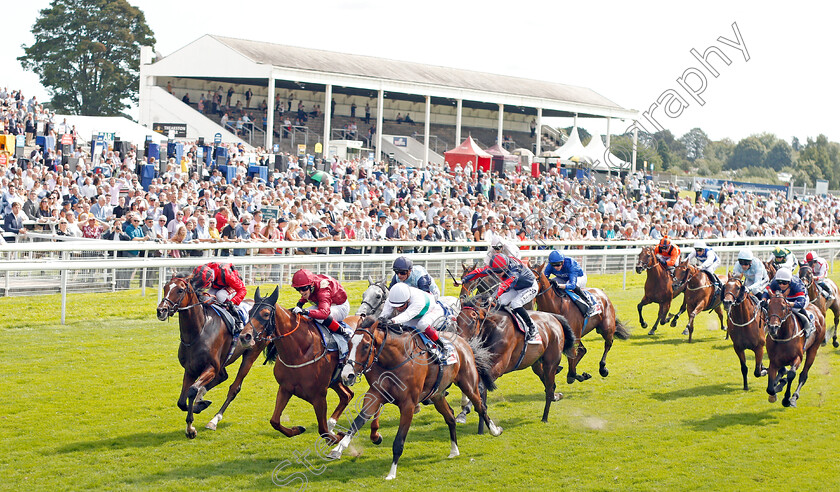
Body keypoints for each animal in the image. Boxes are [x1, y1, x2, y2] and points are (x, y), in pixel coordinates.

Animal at [154, 272, 264, 438]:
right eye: (165, 287)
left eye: (180, 290)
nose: (161, 311)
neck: (198, 331)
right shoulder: (191, 369)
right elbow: (181, 401)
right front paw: (199, 406)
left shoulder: (210, 367)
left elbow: (192, 390)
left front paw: (191, 428)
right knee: (222, 376)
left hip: (251, 353)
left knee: (234, 388)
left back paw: (214, 420)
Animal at [238, 286, 352, 444]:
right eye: (249, 312)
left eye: (266, 314)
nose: (244, 337)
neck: (300, 351)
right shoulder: (285, 388)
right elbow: (274, 421)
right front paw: (297, 429)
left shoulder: (319, 395)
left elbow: (323, 431)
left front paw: (338, 435)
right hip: (336, 380)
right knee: (347, 395)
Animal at [328, 316, 502, 480]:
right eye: (349, 344)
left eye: (365, 346)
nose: (347, 375)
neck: (395, 361)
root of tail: (464, 342)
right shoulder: (375, 396)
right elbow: (357, 423)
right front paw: (337, 449)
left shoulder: (408, 405)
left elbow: (398, 442)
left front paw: (391, 473)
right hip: (437, 395)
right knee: (450, 417)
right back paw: (454, 450)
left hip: (468, 383)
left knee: (480, 406)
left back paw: (494, 430)